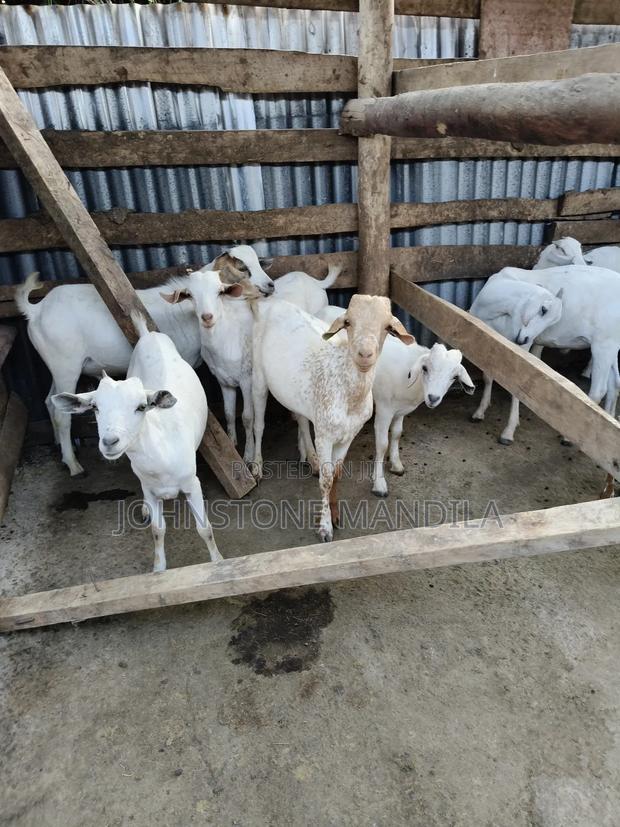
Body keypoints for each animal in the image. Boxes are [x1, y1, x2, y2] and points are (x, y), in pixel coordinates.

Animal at [52, 315, 221, 573]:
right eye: (95, 407)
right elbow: (157, 530)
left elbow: (205, 529)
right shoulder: (149, 488)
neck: (161, 452)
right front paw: (158, 569)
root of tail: (148, 334)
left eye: (141, 407)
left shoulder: (191, 483)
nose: (110, 441)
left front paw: (219, 561)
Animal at [251, 295, 414, 542]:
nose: (364, 354)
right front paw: (325, 527)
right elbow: (326, 480)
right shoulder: (325, 435)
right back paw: (257, 467)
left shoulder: (349, 434)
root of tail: (274, 301)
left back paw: (311, 458)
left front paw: (336, 516)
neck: (348, 395)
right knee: (258, 424)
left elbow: (336, 474)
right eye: (348, 322)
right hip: (257, 375)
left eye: (388, 327)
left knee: (300, 418)